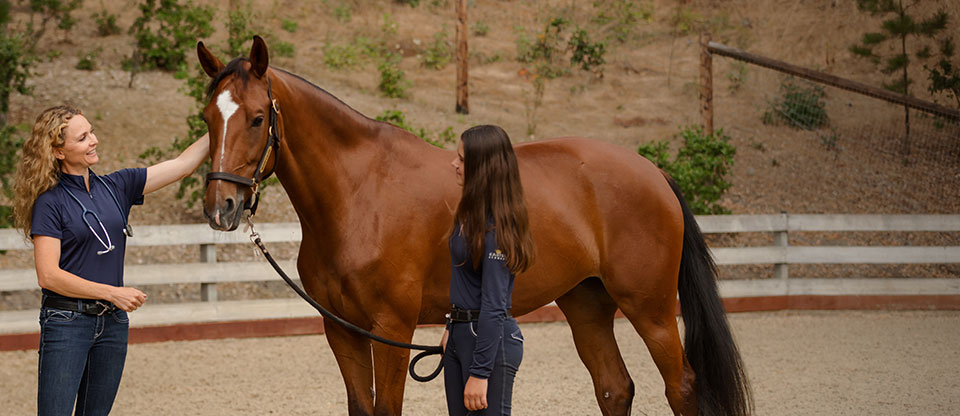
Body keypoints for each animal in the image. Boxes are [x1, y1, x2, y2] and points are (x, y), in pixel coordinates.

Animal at [195, 36, 752, 416]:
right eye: (207, 118)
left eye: (257, 118)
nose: (221, 207)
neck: (359, 194)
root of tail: (653, 172)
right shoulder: (342, 330)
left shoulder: (390, 329)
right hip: (587, 303)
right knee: (615, 388)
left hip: (651, 309)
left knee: (681, 386)